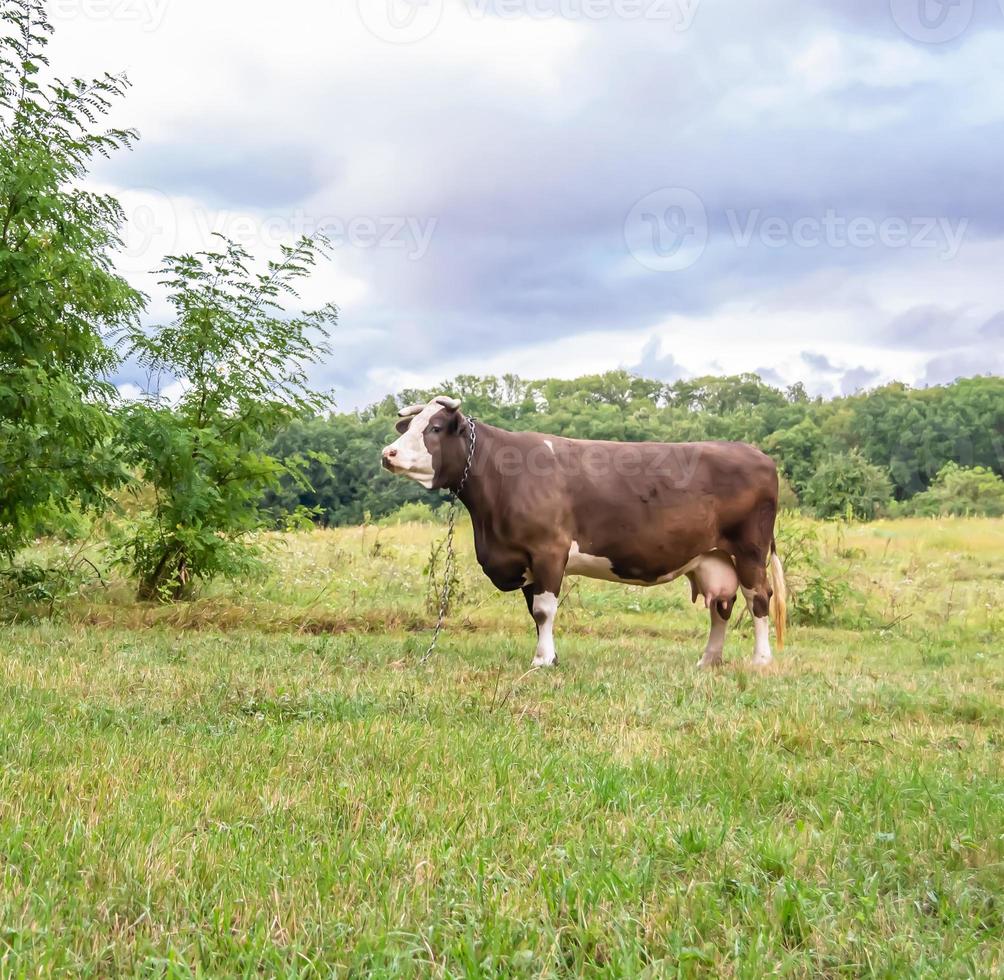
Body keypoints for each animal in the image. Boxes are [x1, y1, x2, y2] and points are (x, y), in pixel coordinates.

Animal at [379, 395, 787, 666]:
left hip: (749, 550)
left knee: (758, 598)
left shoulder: (548, 550)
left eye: (433, 428)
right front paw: (547, 655)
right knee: (721, 605)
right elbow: (534, 612)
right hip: (713, 557)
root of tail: (758, 455)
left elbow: (544, 610)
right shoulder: (524, 559)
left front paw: (543, 661)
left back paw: (760, 660)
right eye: (409, 427)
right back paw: (708, 661)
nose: (388, 454)